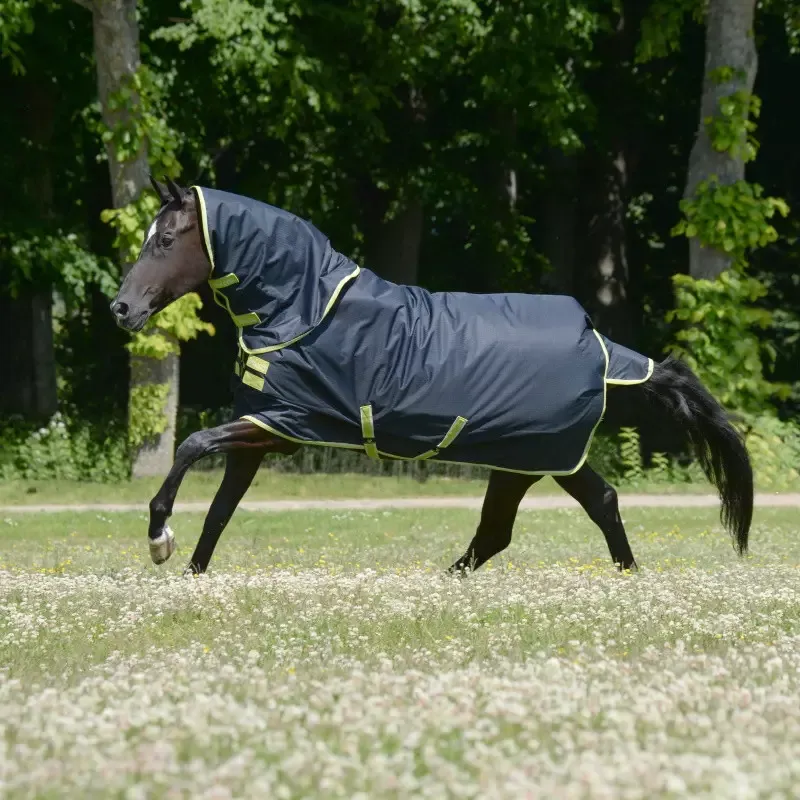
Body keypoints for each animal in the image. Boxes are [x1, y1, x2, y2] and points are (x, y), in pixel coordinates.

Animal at [110, 177, 753, 576]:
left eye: (165, 240)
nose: (122, 308)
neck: (304, 308)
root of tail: (599, 342)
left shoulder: (281, 424)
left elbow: (193, 445)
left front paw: (159, 541)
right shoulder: (263, 430)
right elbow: (220, 511)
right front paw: (190, 575)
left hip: (535, 456)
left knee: (538, 520)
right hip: (532, 460)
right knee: (575, 509)